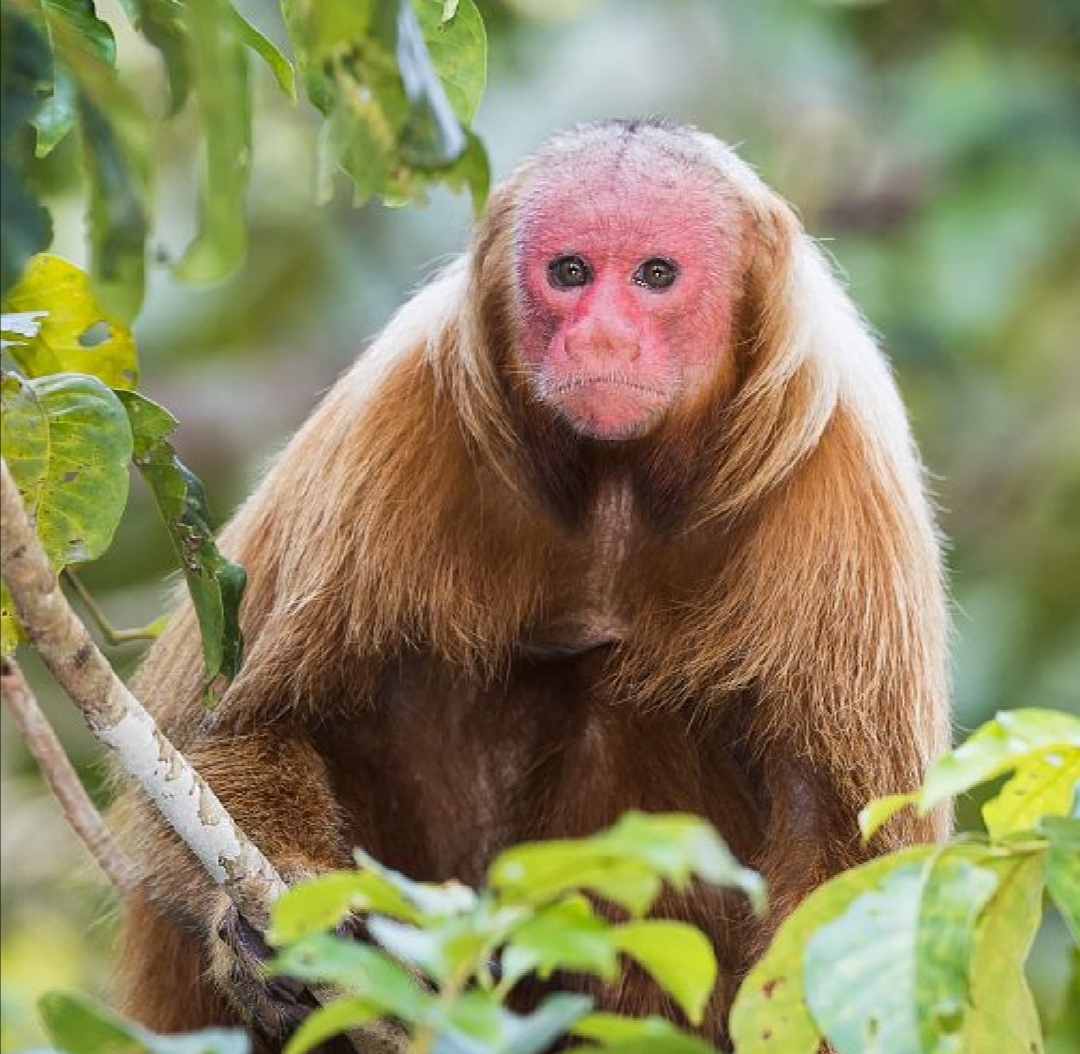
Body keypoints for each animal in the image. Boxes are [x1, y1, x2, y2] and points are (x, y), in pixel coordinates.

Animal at [111, 118, 951, 1051]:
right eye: (571, 272)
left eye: (655, 276)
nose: (601, 339)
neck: (619, 483)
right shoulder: (392, 414)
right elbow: (225, 727)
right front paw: (267, 940)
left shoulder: (844, 478)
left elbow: (844, 838)